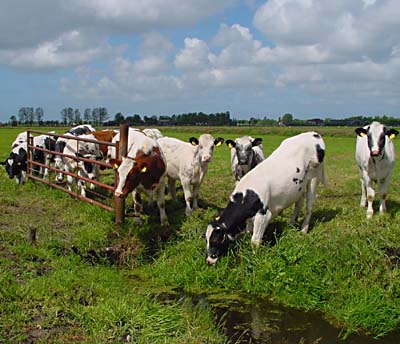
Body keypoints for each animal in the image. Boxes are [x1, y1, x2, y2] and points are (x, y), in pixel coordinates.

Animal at [205, 132, 326, 266]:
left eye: (215, 240)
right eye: (206, 240)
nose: (209, 260)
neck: (249, 193)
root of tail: (314, 134)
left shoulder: (263, 214)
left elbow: (255, 240)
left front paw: (253, 259)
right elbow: (249, 232)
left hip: (314, 177)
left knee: (309, 205)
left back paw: (304, 229)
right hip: (299, 187)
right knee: (299, 203)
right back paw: (291, 223)